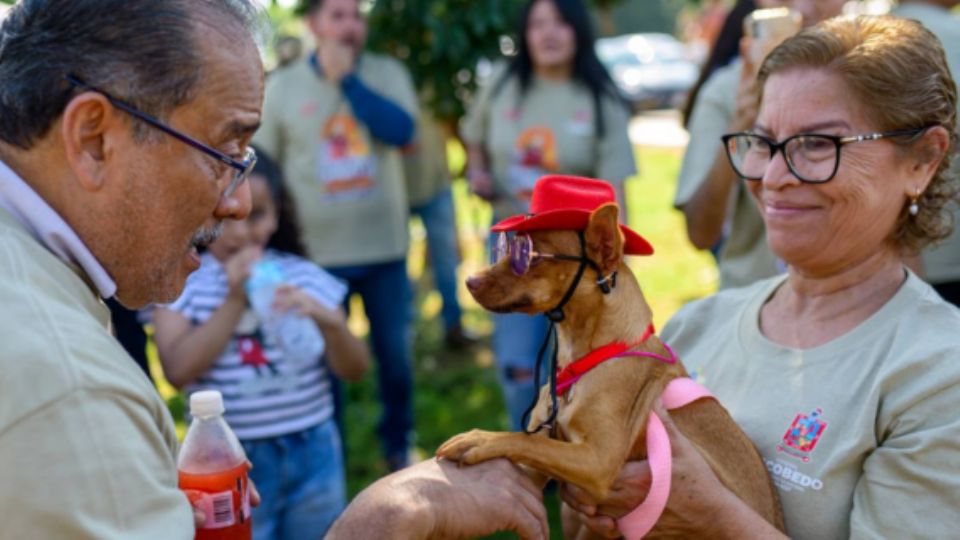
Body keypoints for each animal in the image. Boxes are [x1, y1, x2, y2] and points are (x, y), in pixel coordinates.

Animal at [438, 176, 784, 536]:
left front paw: (479, 439)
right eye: (504, 249)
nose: (469, 280)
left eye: (528, 257)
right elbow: (530, 444)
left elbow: (529, 442)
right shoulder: (537, 468)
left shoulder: (598, 461)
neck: (582, 360)